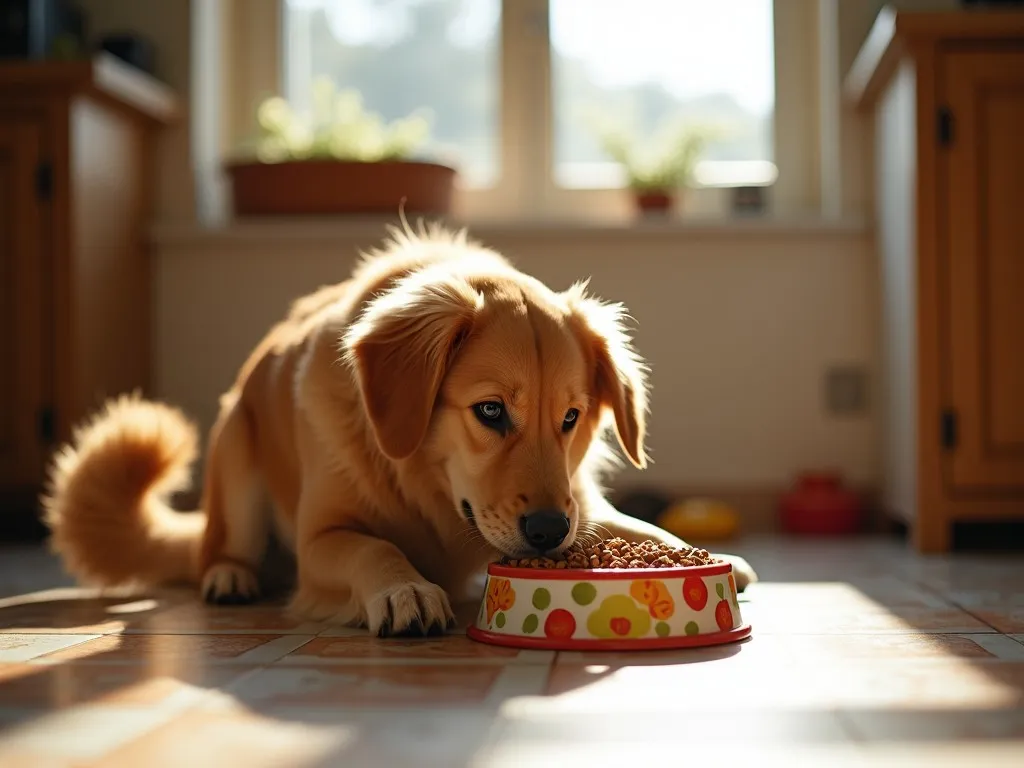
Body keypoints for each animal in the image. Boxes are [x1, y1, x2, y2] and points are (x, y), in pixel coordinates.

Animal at [44, 227, 757, 638]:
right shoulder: (321, 540)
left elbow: (631, 527)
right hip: (237, 457)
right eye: (490, 412)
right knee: (219, 549)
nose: (548, 532)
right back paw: (230, 576)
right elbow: (374, 548)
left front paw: (697, 554)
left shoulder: (581, 501)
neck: (426, 491)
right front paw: (406, 589)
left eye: (571, 419)